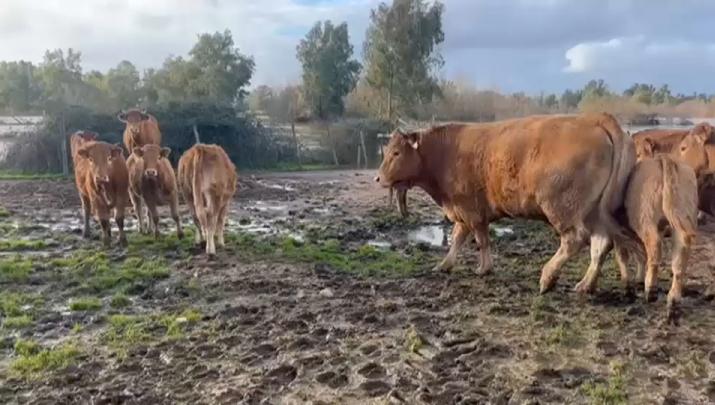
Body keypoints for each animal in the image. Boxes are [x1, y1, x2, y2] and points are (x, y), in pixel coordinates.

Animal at [375, 113, 638, 294]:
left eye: (397, 152)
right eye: (387, 151)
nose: (378, 178)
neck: (445, 153)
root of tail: (595, 118)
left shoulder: (468, 209)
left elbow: (475, 239)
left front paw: (481, 268)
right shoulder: (470, 212)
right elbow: (462, 238)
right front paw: (447, 265)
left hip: (564, 208)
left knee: (575, 240)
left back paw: (548, 277)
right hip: (596, 211)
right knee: (601, 244)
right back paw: (586, 284)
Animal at [613, 155, 698, 321]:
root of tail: (664, 158)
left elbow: (624, 255)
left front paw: (628, 286)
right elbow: (640, 255)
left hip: (645, 218)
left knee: (654, 246)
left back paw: (650, 289)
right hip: (682, 216)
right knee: (680, 254)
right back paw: (673, 302)